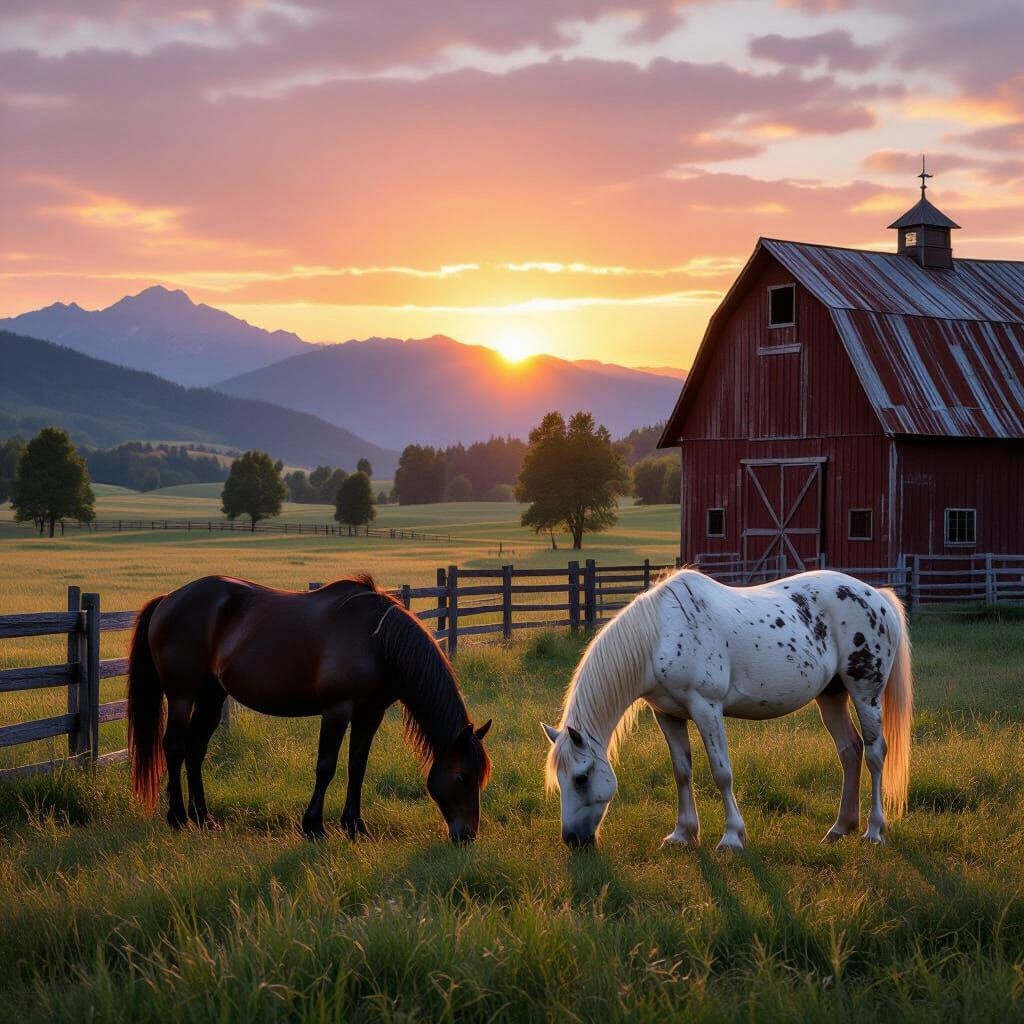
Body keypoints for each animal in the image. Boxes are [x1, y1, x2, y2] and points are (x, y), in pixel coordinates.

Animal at [126, 574, 491, 843]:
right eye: (462, 776)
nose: (467, 836)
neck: (377, 640)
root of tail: (169, 599)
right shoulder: (337, 710)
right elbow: (326, 766)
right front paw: (314, 826)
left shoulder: (370, 713)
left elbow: (357, 766)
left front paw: (355, 826)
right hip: (181, 696)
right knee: (174, 747)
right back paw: (178, 818)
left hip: (211, 697)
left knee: (195, 750)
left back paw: (204, 818)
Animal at [543, 568, 912, 851]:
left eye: (581, 777)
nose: (573, 840)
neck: (661, 634)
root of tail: (877, 596)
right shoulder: (668, 715)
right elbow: (682, 772)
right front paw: (682, 834)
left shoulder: (706, 708)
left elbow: (721, 772)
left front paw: (732, 838)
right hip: (831, 695)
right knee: (849, 751)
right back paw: (840, 828)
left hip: (865, 692)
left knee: (875, 753)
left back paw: (873, 831)